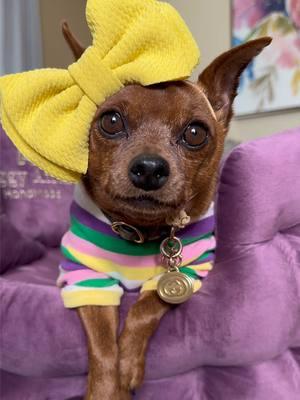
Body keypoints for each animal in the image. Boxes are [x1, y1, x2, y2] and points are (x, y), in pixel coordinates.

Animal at [62, 21, 270, 400]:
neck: (142, 230)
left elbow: (145, 308)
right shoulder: (84, 275)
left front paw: (128, 365)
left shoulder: (189, 270)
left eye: (195, 132)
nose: (148, 168)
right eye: (111, 121)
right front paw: (106, 388)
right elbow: (102, 342)